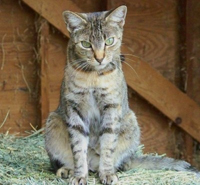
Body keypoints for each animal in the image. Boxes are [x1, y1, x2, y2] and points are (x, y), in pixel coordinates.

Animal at [44, 5, 198, 184]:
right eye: (86, 44)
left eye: (109, 41)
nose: (99, 58)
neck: (93, 76)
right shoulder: (74, 107)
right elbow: (78, 147)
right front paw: (79, 175)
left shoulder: (111, 106)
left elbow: (108, 144)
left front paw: (107, 173)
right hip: (53, 121)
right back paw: (67, 169)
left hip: (130, 120)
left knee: (116, 161)